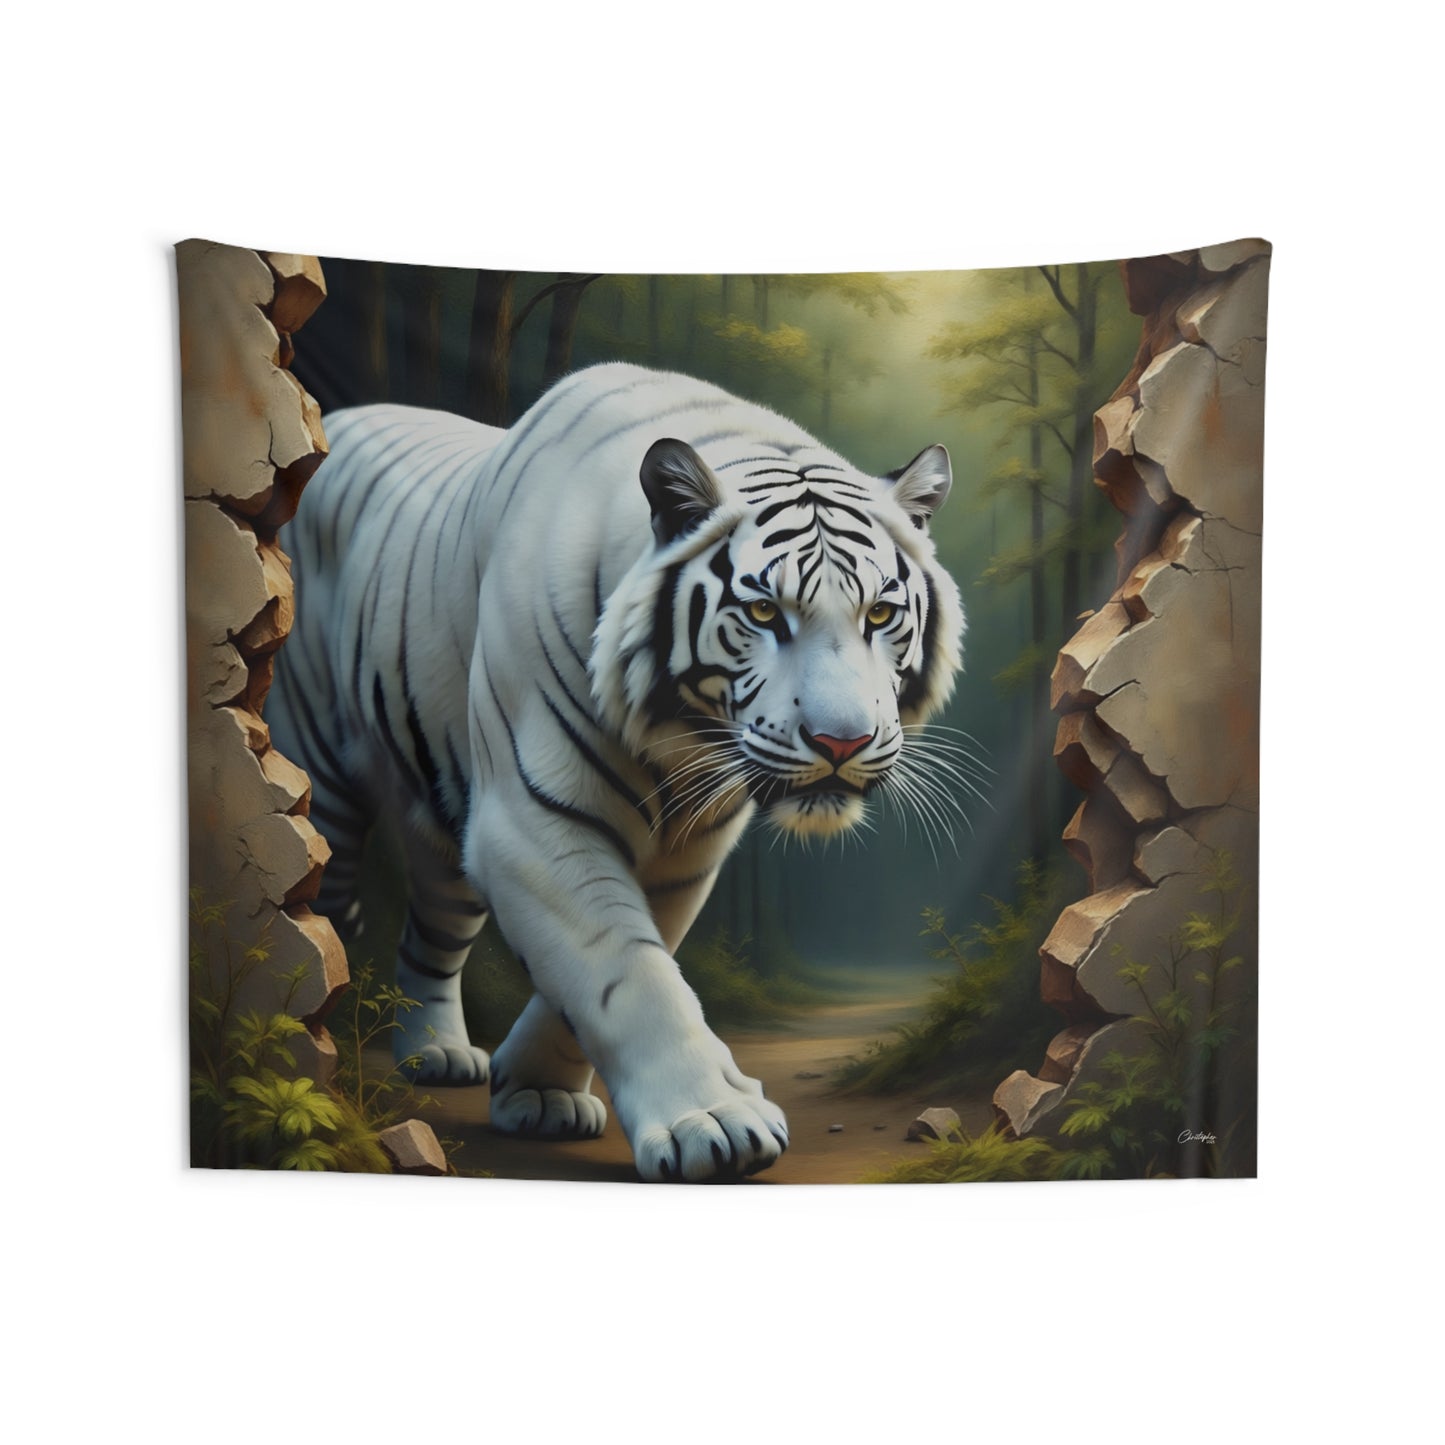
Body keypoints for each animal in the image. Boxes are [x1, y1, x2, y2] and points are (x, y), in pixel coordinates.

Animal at [267, 361, 965, 1182]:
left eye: (881, 616)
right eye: (764, 614)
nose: (840, 743)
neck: (678, 739)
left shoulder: (685, 847)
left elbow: (619, 962)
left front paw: (536, 1090)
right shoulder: (530, 822)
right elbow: (625, 970)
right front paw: (713, 1120)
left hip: (442, 825)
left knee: (430, 933)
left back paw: (437, 1053)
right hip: (320, 771)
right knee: (311, 910)